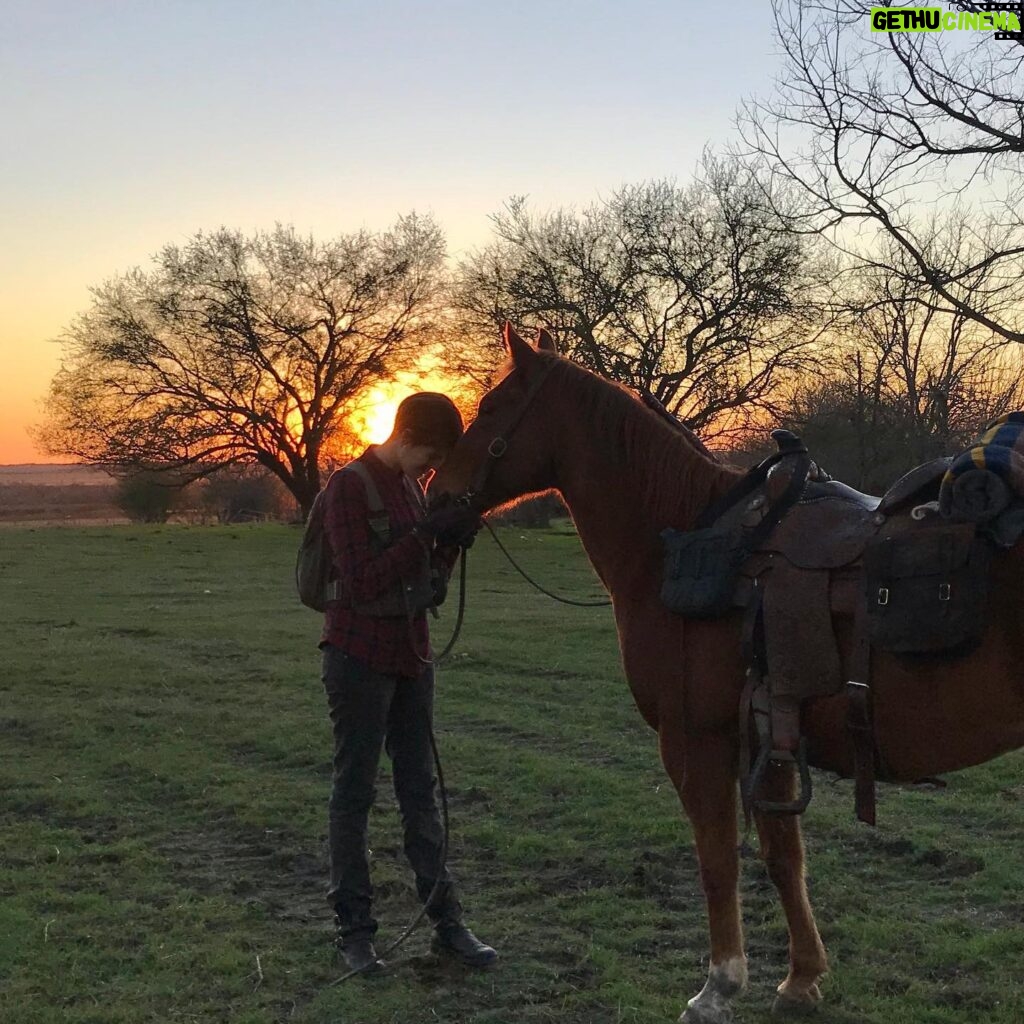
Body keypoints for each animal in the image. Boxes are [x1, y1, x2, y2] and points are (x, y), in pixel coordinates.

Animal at [428, 323, 1024, 1024]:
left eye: (492, 409)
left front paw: (719, 985)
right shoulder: (769, 736)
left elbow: (718, 859)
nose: (436, 497)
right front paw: (801, 978)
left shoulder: (697, 739)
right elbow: (783, 857)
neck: (680, 542)